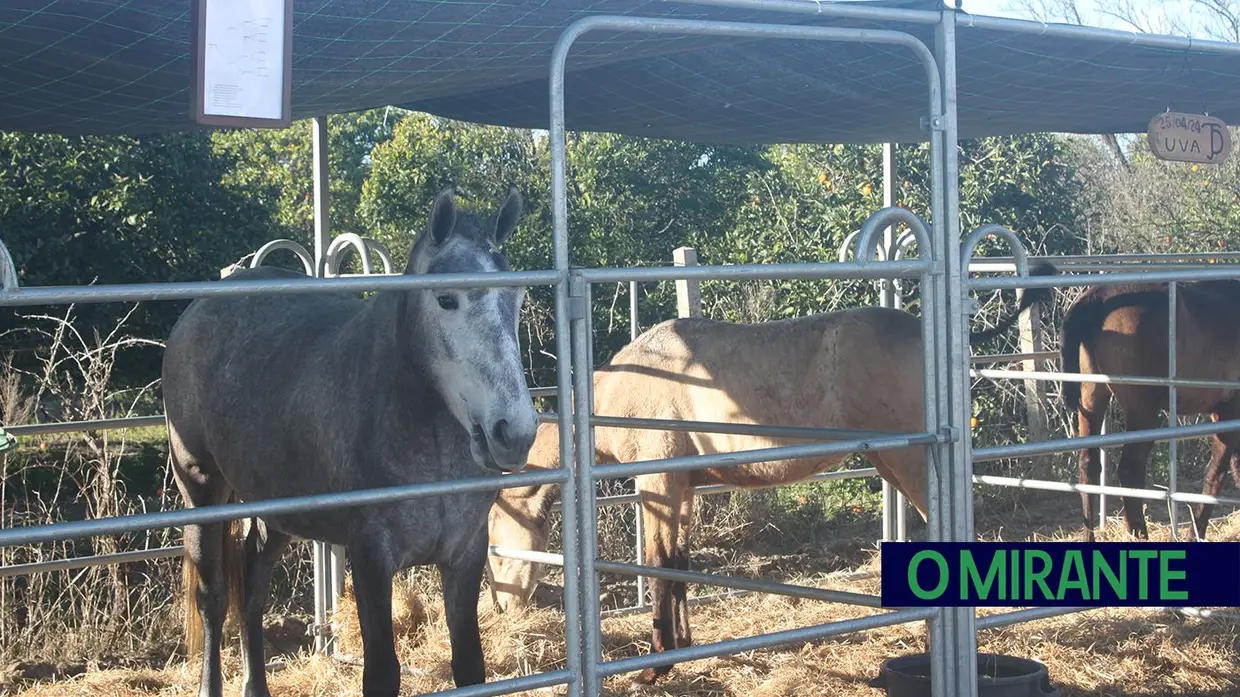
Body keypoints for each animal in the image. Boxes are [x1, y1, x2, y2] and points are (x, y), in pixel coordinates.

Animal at [161, 186, 538, 694]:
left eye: (516, 295)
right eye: (445, 299)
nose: (513, 432)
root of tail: (197, 311)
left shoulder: (465, 553)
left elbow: (469, 666)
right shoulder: (370, 556)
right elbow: (381, 672)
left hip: (279, 511)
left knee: (253, 584)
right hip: (201, 490)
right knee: (214, 596)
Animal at [483, 288, 1046, 684]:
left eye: (490, 543)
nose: (503, 608)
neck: (620, 390)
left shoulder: (658, 483)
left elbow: (660, 567)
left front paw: (655, 666)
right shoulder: (684, 489)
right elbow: (680, 566)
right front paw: (682, 648)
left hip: (908, 462)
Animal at [1061, 279, 1240, 540]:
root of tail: (1096, 299)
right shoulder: (1228, 411)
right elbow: (1216, 474)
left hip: (1092, 396)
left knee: (1088, 465)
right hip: (1142, 409)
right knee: (1129, 469)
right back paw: (1139, 534)